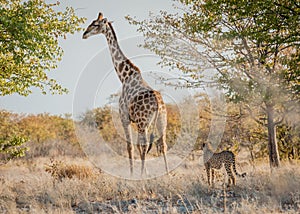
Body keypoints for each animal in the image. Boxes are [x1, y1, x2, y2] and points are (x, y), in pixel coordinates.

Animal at [82, 12, 169, 176]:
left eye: (95, 24)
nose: (84, 34)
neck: (124, 76)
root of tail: (158, 103)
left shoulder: (124, 117)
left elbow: (130, 146)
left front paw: (133, 174)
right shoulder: (134, 120)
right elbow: (138, 146)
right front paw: (145, 173)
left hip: (143, 122)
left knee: (146, 144)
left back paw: (141, 176)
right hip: (161, 121)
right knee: (162, 143)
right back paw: (167, 175)